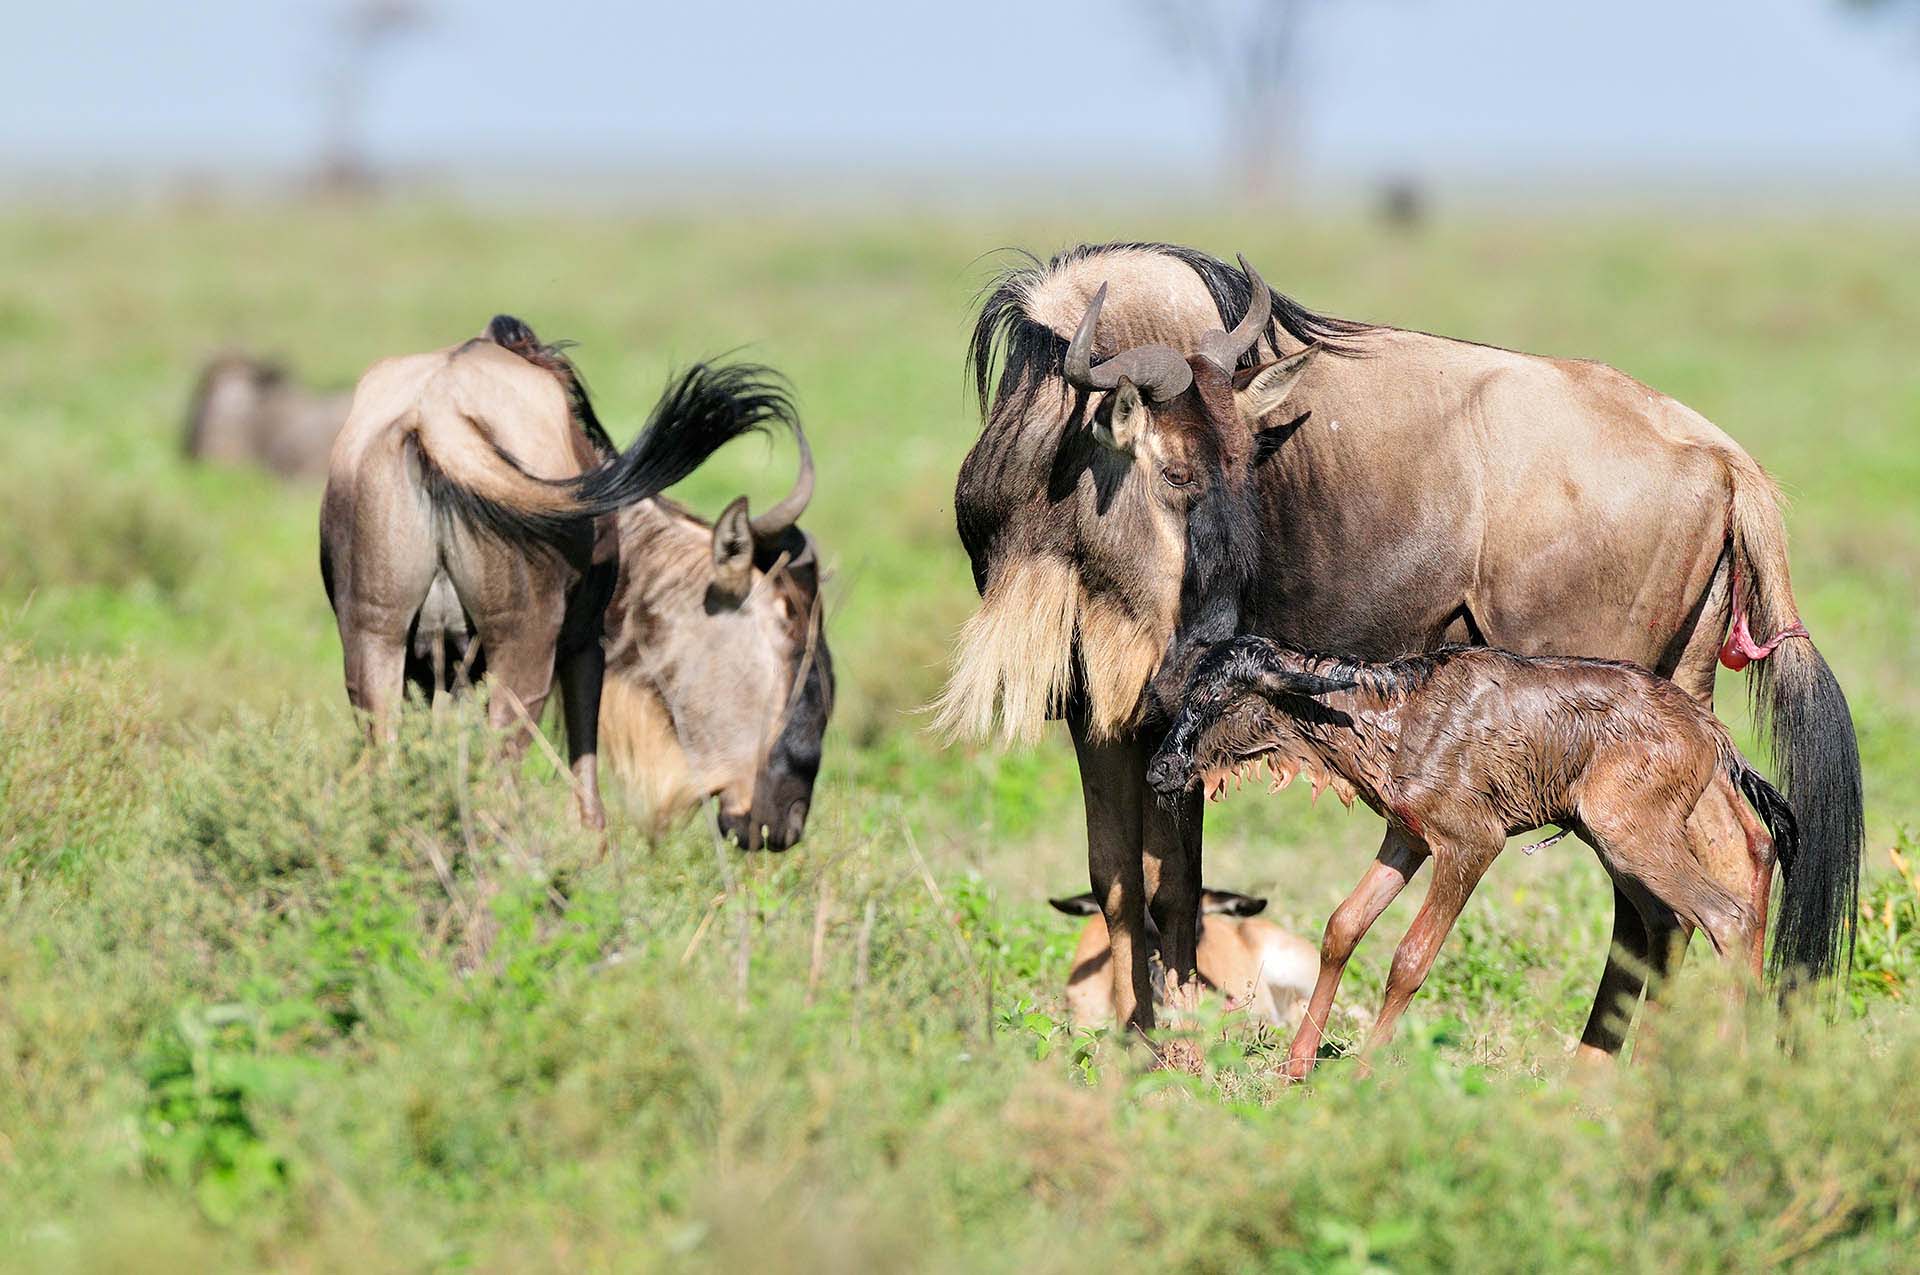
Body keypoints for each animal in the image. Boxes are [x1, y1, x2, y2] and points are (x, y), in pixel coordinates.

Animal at [1152, 637, 1797, 1075]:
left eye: (1220, 700)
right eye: (1185, 694)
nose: (1160, 770)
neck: (1389, 719)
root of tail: (1709, 729)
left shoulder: (1471, 844)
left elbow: (1410, 959)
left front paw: (1363, 1072)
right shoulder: (1406, 838)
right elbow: (1343, 927)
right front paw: (1296, 1067)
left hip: (1631, 834)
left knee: (1725, 915)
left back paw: (1730, 1064)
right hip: (1617, 843)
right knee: (1671, 924)